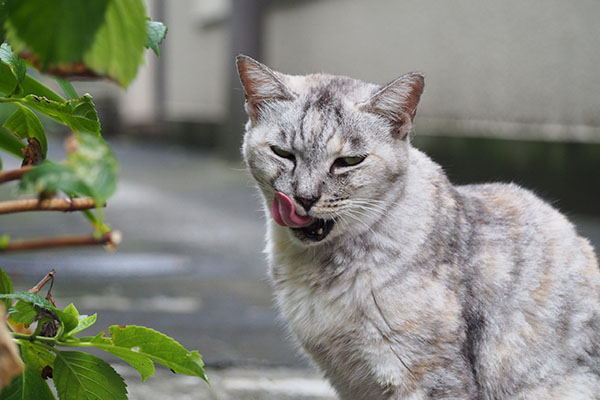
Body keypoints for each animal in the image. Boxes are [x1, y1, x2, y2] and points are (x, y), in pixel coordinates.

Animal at [234, 54, 600, 398]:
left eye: (349, 161)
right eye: (283, 153)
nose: (305, 197)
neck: (318, 267)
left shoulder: (430, 377)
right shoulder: (349, 379)